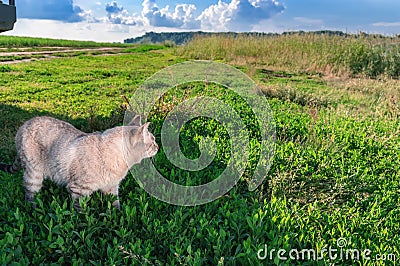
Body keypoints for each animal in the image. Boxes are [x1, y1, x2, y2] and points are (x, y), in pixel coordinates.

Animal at [0, 115, 159, 209]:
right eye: (153, 141)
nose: (158, 147)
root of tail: (24, 124)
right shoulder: (78, 189)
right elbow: (81, 212)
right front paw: (82, 223)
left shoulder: (111, 188)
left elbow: (115, 204)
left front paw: (118, 218)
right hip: (34, 175)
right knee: (30, 194)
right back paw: (35, 209)